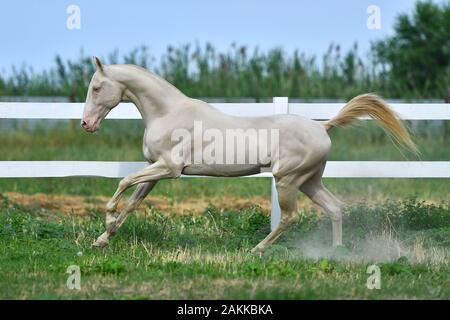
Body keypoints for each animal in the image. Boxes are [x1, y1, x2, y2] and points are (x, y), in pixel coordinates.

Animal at [81, 57, 418, 252]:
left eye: (97, 88)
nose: (87, 124)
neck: (168, 113)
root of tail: (323, 127)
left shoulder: (169, 168)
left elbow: (123, 183)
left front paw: (106, 220)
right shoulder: (155, 169)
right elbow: (133, 202)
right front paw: (103, 238)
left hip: (287, 180)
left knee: (291, 217)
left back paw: (257, 250)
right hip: (310, 181)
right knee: (335, 208)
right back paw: (335, 252)